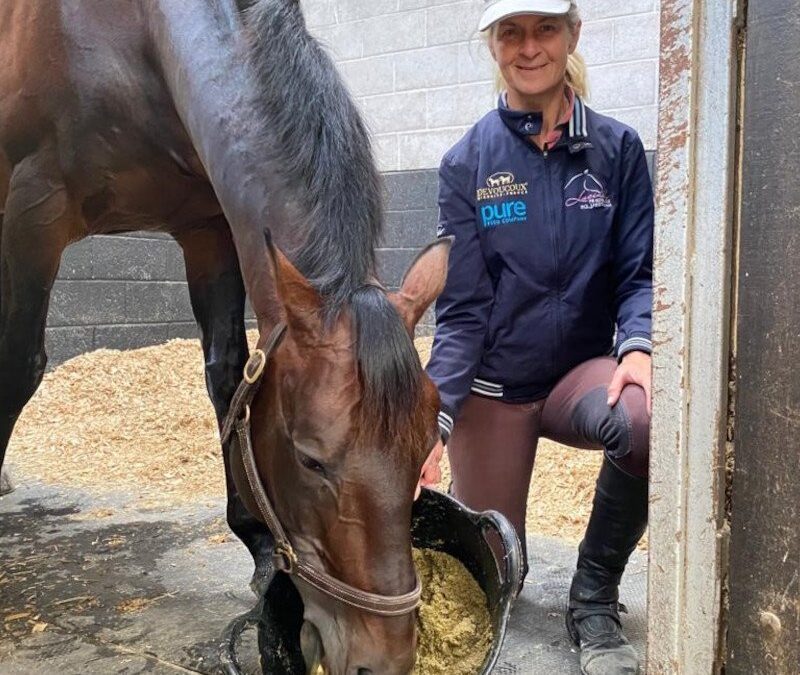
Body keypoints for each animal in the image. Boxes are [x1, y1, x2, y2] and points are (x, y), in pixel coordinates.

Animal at [0, 1, 450, 672]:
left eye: (424, 454)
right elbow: (18, 370)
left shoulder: (207, 225)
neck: (129, 39)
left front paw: (257, 540)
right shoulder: (34, 211)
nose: (383, 661)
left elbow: (228, 372)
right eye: (310, 458)